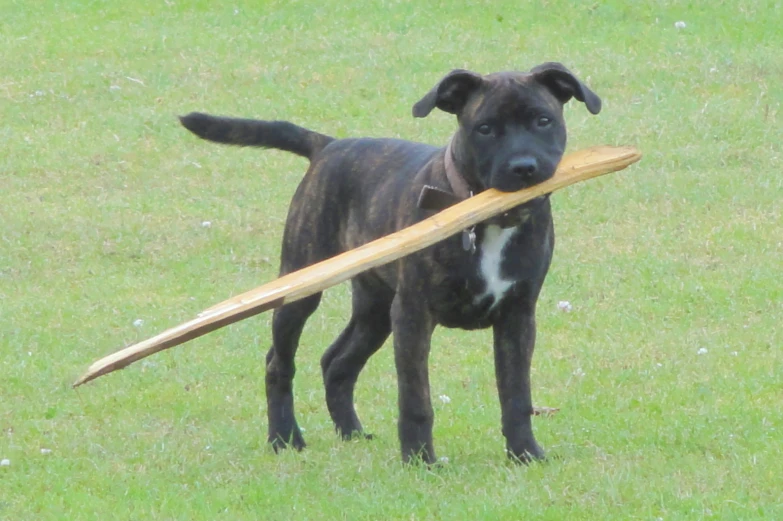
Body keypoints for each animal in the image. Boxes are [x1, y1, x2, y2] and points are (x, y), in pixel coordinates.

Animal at [181, 62, 604, 464]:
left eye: (543, 120)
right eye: (484, 129)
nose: (523, 167)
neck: (483, 217)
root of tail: (329, 146)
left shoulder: (517, 316)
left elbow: (516, 395)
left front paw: (525, 453)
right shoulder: (413, 314)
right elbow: (416, 400)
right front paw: (420, 460)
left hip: (375, 306)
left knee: (337, 361)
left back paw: (351, 433)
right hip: (302, 285)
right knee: (279, 362)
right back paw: (284, 437)